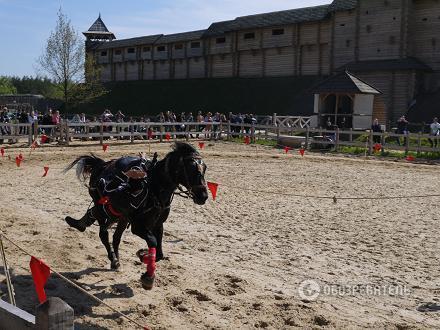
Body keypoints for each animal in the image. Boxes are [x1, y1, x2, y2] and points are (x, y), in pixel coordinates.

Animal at [64, 142, 209, 288]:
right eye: (190, 168)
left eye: (205, 168)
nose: (203, 196)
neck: (154, 188)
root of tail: (101, 165)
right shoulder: (138, 227)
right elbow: (153, 241)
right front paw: (148, 276)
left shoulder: (158, 224)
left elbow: (159, 253)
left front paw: (143, 256)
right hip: (102, 209)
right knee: (103, 233)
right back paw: (112, 258)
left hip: (121, 216)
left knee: (115, 237)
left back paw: (115, 258)